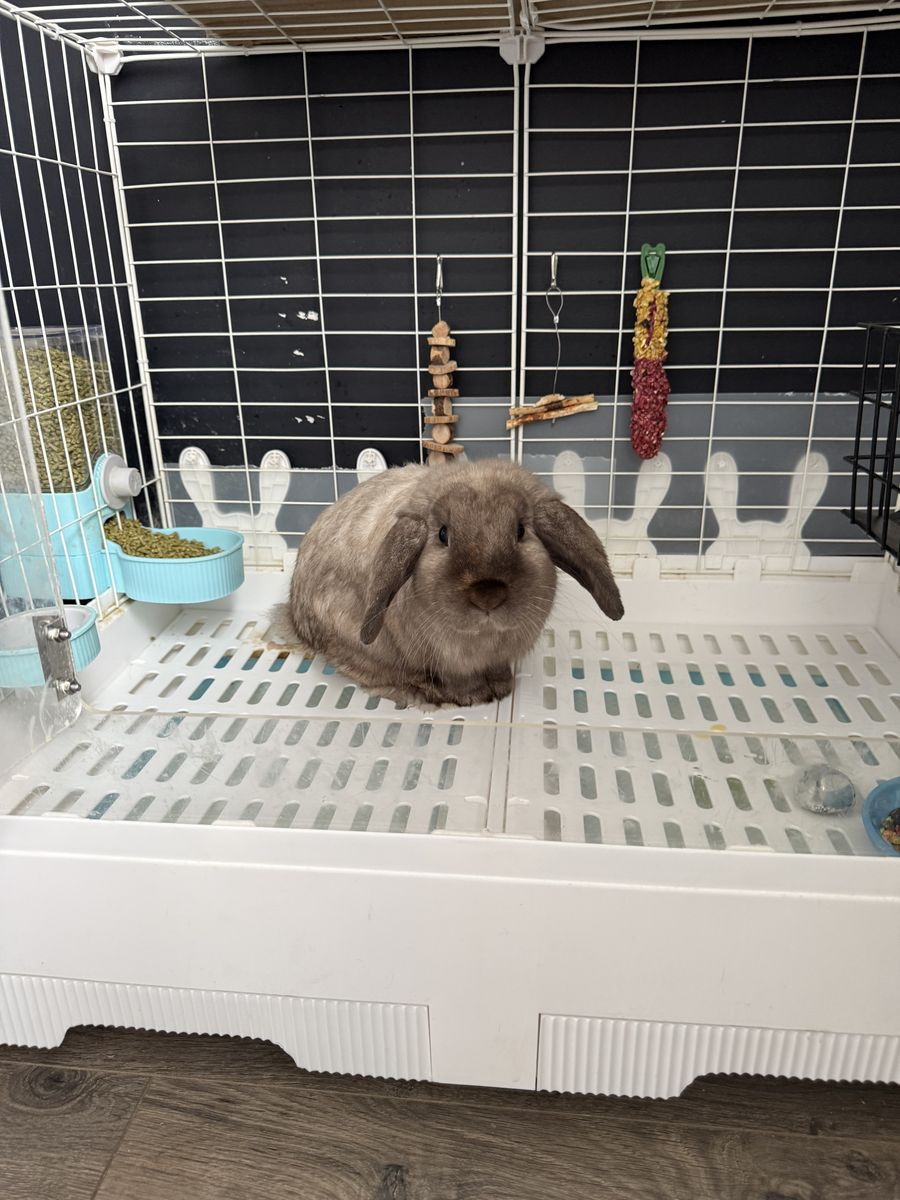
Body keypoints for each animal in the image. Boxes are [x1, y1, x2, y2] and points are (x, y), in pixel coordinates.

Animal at [279, 458, 624, 709]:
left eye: (521, 531)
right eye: (443, 534)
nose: (488, 594)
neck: (484, 639)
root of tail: (293, 615)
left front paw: (502, 686)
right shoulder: (448, 662)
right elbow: (459, 680)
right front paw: (473, 696)